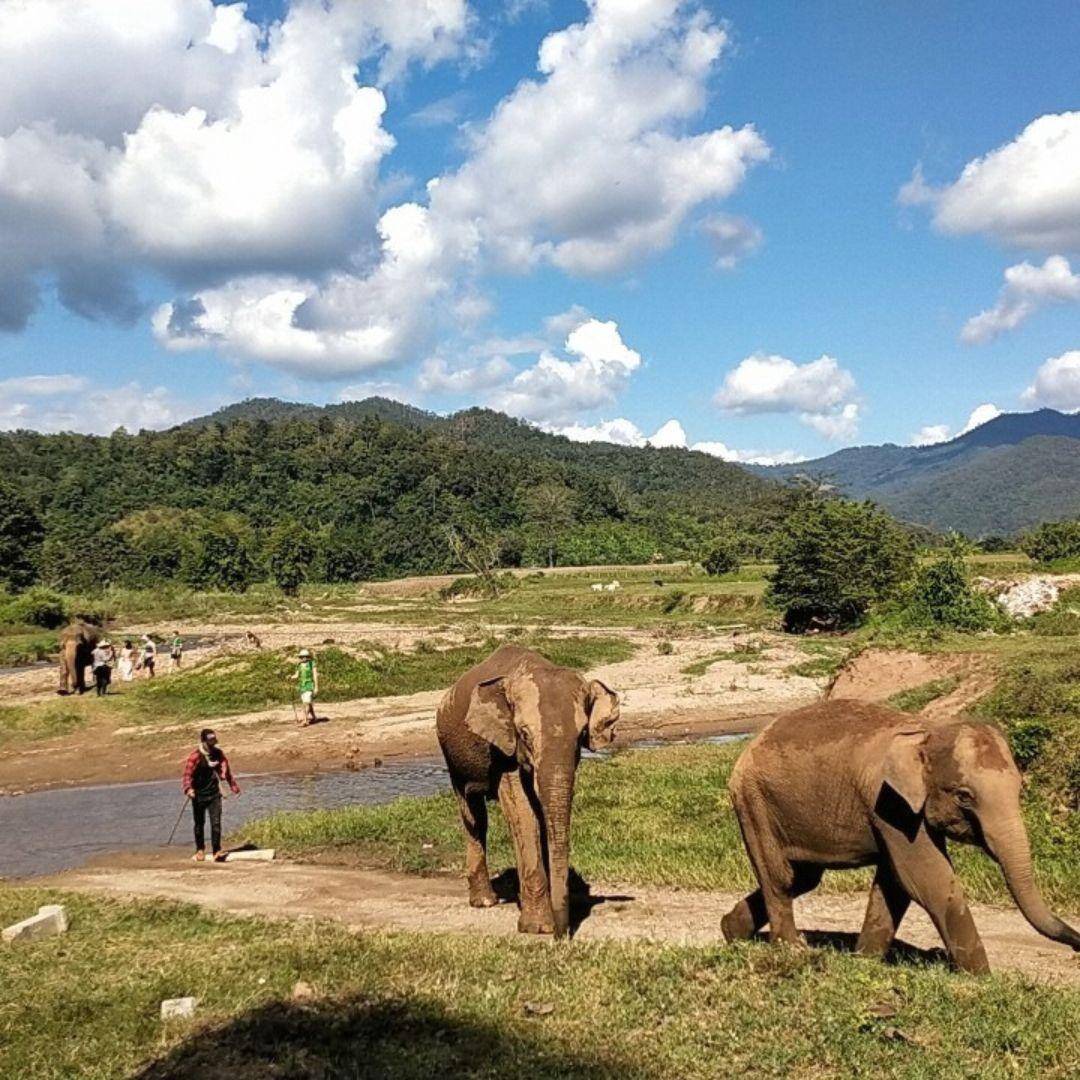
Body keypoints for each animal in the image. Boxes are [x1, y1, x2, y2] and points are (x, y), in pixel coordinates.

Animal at [436, 644, 619, 938]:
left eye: (581, 735)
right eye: (524, 734)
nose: (563, 936)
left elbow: (543, 814)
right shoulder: (504, 749)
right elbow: (522, 811)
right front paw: (538, 929)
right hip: (452, 757)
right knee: (474, 815)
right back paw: (484, 902)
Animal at [722, 699, 1080, 973]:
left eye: (1019, 789)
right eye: (964, 796)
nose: (1077, 945)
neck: (928, 730)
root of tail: (753, 742)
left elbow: (894, 883)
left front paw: (865, 961)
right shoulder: (890, 803)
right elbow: (927, 879)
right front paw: (984, 978)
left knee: (804, 878)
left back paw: (731, 931)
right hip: (754, 802)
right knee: (781, 877)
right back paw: (791, 949)